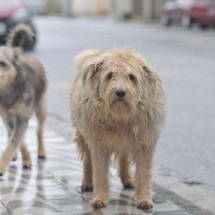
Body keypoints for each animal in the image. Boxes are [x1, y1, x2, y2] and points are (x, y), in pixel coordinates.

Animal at [0, 24, 47, 176]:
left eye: (3, 64)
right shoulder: (7, 116)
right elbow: (17, 140)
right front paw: (25, 157)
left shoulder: (22, 116)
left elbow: (15, 141)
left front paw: (1, 167)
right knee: (10, 133)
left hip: (41, 107)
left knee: (39, 130)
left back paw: (41, 151)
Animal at [69, 48, 166, 210]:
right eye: (110, 75)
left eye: (131, 77)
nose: (120, 92)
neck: (120, 117)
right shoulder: (99, 145)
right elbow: (100, 173)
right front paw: (100, 198)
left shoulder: (144, 145)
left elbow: (144, 174)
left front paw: (144, 199)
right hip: (83, 134)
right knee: (88, 159)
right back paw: (87, 182)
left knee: (124, 157)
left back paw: (127, 179)